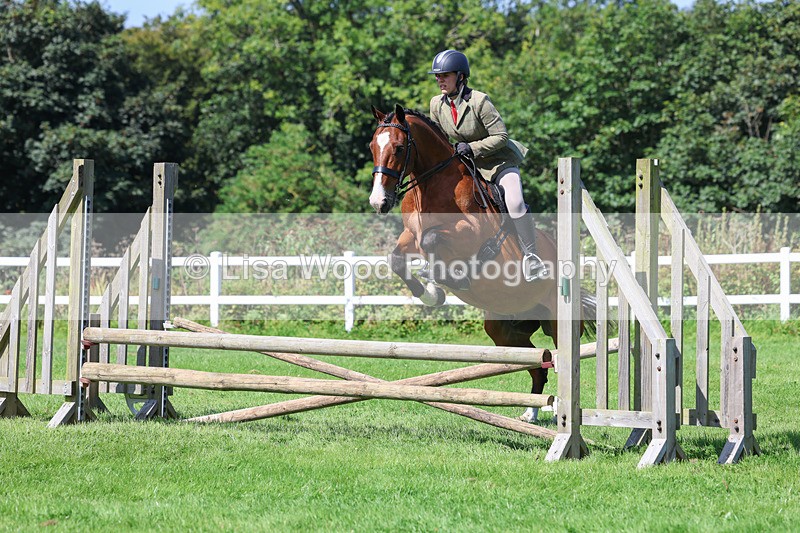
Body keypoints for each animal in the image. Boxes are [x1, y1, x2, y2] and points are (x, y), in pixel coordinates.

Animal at [368, 104, 595, 424]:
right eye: (372, 146)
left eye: (399, 148)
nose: (379, 202)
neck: (432, 185)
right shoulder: (410, 236)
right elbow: (398, 258)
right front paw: (432, 292)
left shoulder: (469, 234)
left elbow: (433, 240)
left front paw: (446, 278)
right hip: (503, 329)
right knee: (539, 364)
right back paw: (531, 413)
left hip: (555, 318)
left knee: (559, 359)